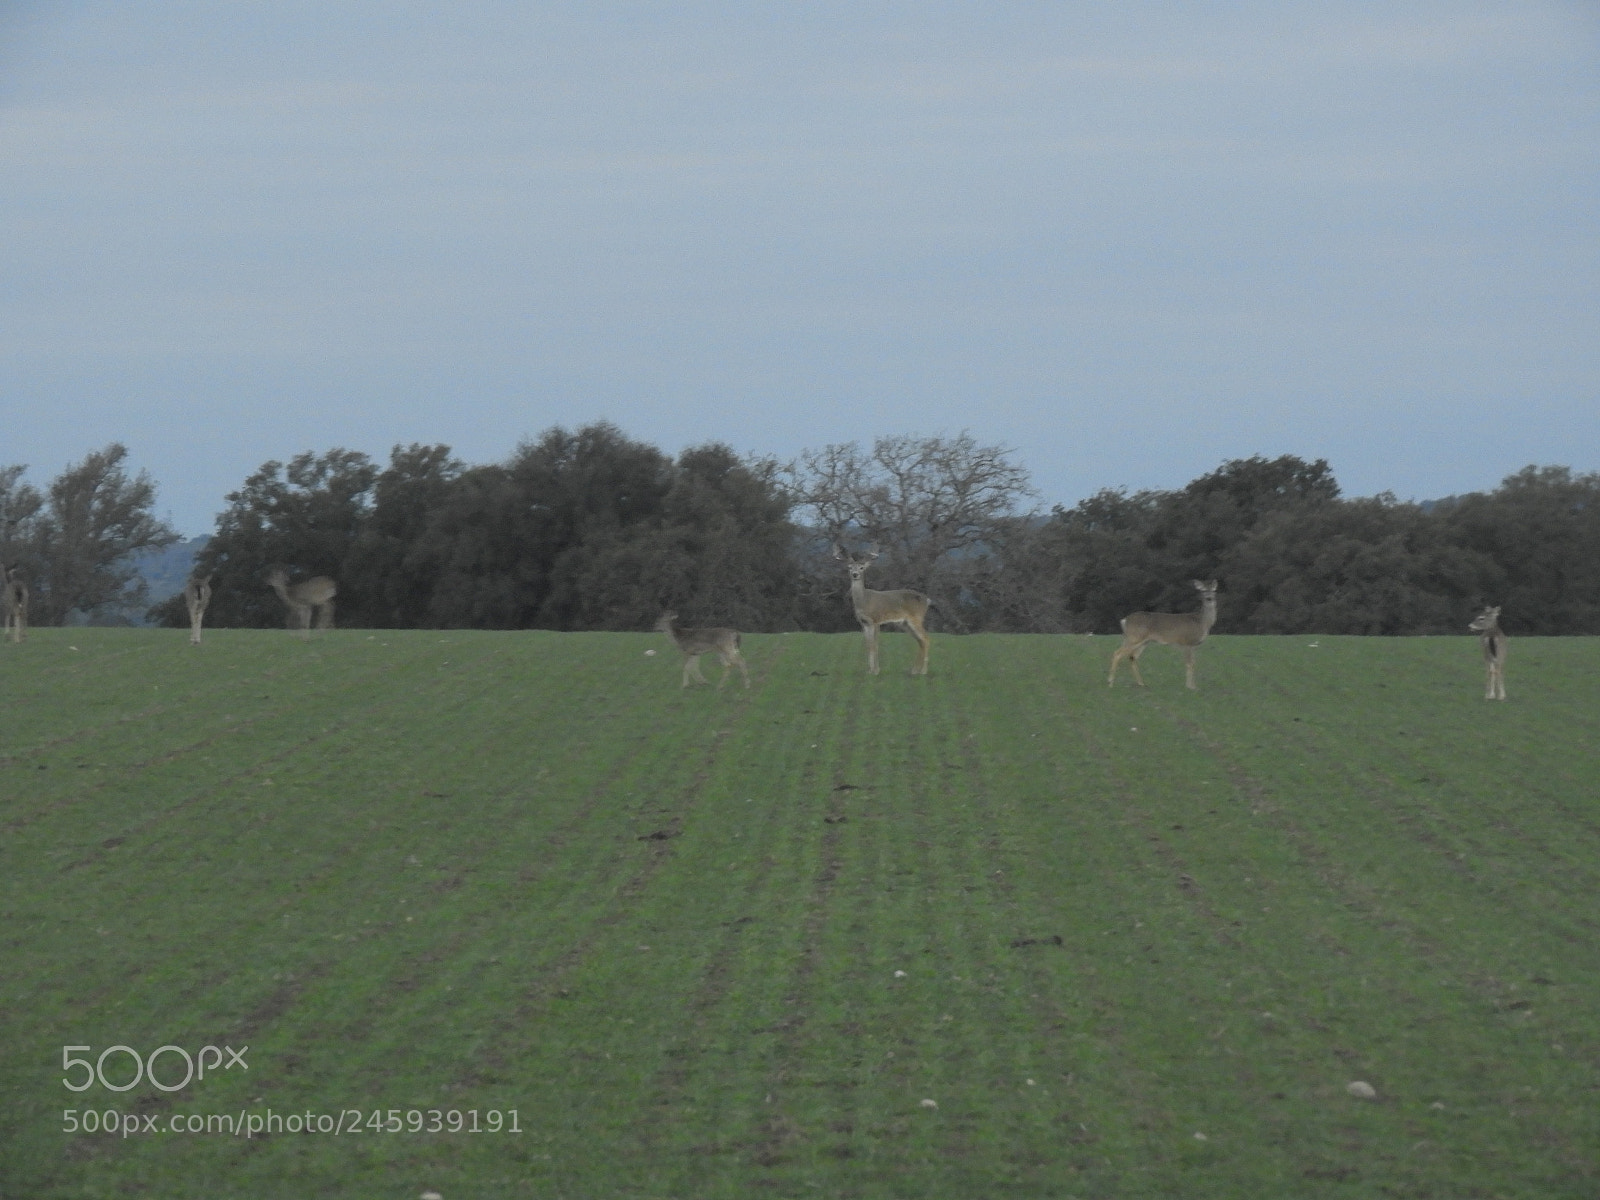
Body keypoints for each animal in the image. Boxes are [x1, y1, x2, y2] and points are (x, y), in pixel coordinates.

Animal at [833, 545, 931, 676]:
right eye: (849, 567)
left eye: (861, 567)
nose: (855, 574)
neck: (864, 601)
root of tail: (927, 600)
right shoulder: (864, 623)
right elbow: (868, 645)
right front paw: (869, 671)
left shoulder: (876, 620)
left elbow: (875, 645)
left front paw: (875, 671)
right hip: (905, 623)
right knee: (920, 640)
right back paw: (915, 670)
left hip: (916, 618)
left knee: (926, 639)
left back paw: (923, 671)